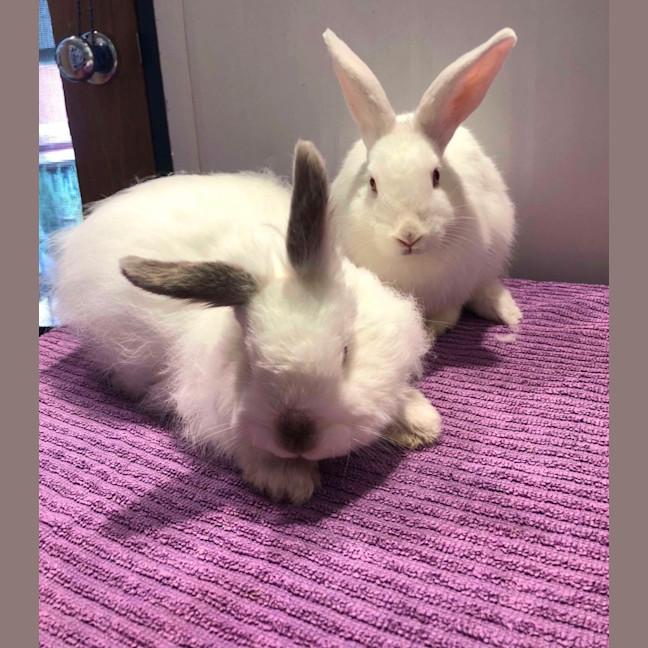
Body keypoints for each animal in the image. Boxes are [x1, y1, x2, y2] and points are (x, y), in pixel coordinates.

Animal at [50, 140, 442, 505]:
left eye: (346, 352)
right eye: (250, 362)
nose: (296, 436)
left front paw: (421, 423)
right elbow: (248, 447)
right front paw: (289, 481)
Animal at [323, 28, 522, 336]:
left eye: (436, 176)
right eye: (372, 183)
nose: (409, 235)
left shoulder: (455, 291)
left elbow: (448, 315)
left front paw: (430, 332)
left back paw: (509, 314)